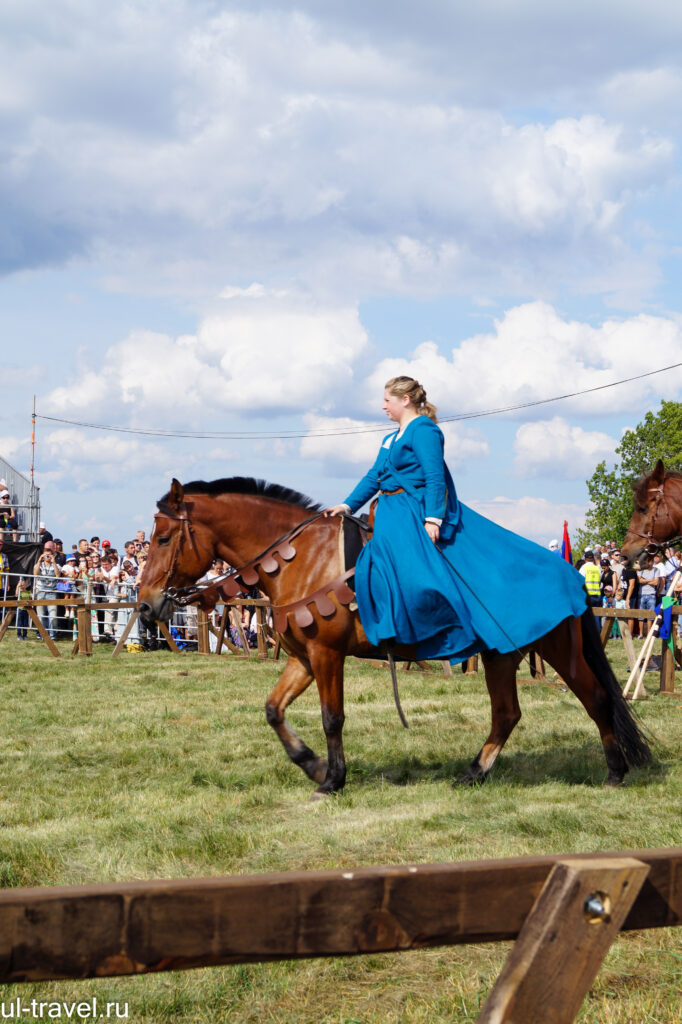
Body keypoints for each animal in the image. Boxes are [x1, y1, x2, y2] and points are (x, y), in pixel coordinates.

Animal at [137, 475, 647, 794]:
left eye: (163, 539)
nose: (145, 605)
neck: (304, 559)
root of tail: (572, 574)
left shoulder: (326, 655)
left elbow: (332, 718)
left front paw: (332, 779)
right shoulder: (303, 658)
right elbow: (273, 710)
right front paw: (313, 764)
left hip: (559, 649)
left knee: (595, 698)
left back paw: (615, 772)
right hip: (502, 654)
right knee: (507, 714)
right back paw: (474, 773)